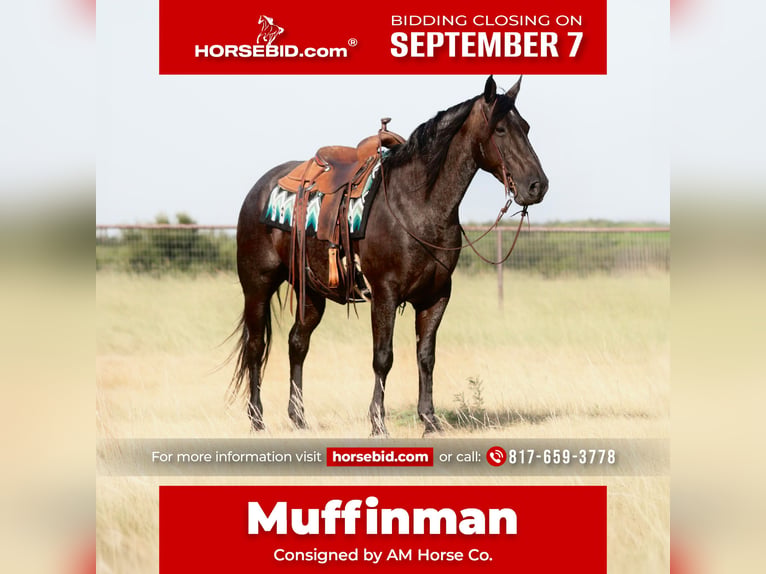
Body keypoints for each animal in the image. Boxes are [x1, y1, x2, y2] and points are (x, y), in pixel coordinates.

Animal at [231, 75, 549, 436]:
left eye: (526, 127)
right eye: (501, 130)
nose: (537, 186)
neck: (417, 205)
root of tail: (258, 190)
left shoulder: (436, 296)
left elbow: (426, 356)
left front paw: (429, 420)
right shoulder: (384, 294)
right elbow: (383, 357)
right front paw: (378, 423)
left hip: (311, 291)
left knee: (297, 342)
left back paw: (298, 417)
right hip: (257, 285)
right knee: (256, 346)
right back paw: (257, 419)